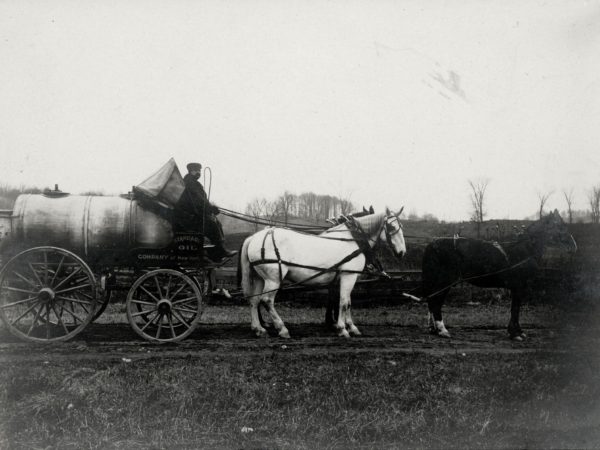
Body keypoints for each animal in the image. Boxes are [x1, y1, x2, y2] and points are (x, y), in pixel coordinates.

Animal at [238, 207, 404, 338]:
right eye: (391, 227)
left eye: (401, 226)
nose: (402, 252)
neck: (353, 239)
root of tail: (255, 237)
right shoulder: (348, 276)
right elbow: (343, 302)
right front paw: (342, 329)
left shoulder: (342, 279)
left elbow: (346, 302)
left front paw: (350, 327)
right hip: (273, 279)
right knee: (267, 301)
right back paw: (282, 329)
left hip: (259, 278)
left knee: (254, 300)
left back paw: (259, 329)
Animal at [422, 211, 576, 342]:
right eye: (559, 226)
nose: (573, 246)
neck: (524, 250)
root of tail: (432, 244)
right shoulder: (518, 287)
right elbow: (515, 309)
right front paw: (515, 334)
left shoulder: (516, 288)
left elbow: (515, 309)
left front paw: (517, 332)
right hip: (446, 280)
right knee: (435, 301)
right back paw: (442, 330)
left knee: (431, 299)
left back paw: (433, 329)